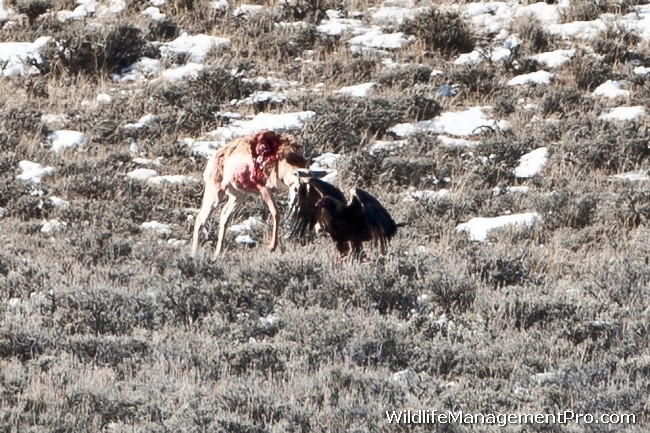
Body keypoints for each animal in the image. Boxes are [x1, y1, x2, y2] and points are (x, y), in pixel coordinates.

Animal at [191, 130, 308, 258]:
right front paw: (272, 247)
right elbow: (276, 213)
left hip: (239, 196)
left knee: (224, 215)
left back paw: (218, 253)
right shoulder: (264, 189)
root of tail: (215, 157)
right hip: (215, 195)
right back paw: (194, 254)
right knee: (200, 219)